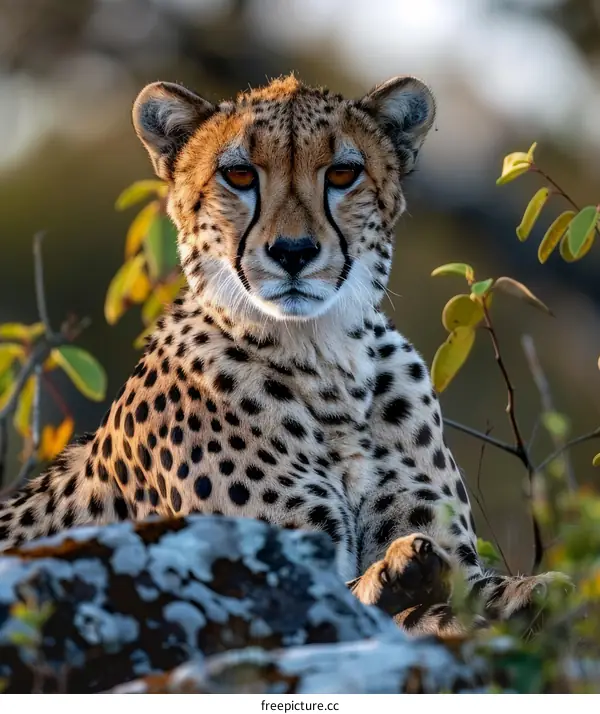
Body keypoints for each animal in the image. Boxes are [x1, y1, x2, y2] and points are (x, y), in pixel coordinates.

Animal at [0, 73, 563, 636]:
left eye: (342, 173)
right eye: (239, 174)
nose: (293, 252)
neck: (327, 362)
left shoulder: (454, 558)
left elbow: (490, 592)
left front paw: (528, 591)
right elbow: (360, 599)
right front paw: (398, 575)